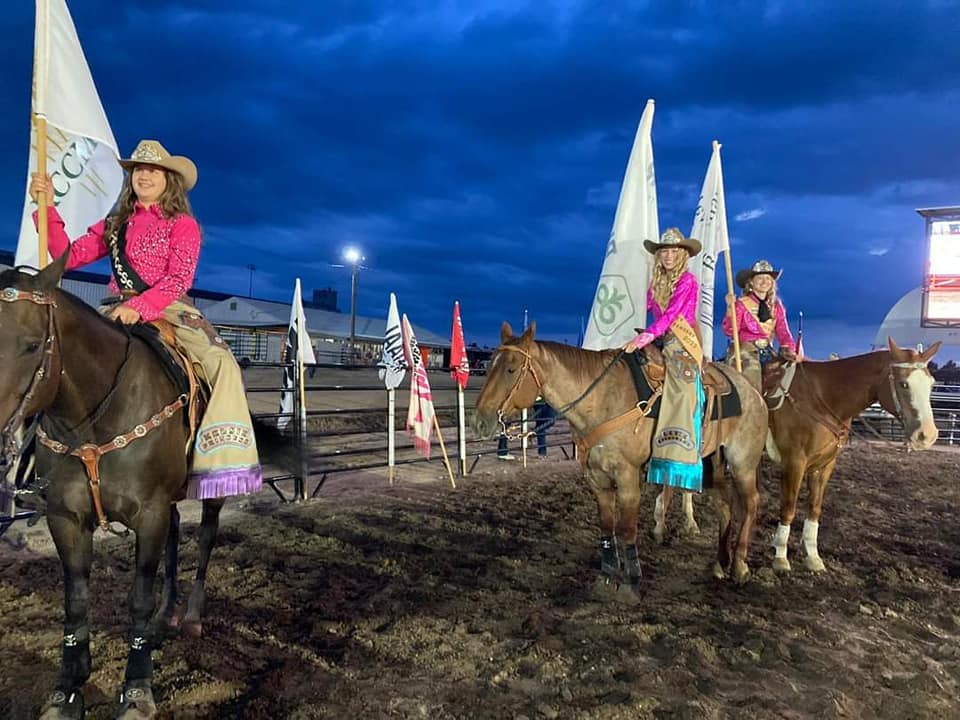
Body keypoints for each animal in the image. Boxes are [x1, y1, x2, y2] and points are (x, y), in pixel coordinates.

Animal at [0, 256, 296, 716]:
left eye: (33, 345)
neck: (96, 415)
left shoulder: (149, 513)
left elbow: (138, 598)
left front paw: (137, 690)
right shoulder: (65, 517)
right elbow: (75, 601)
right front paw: (68, 687)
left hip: (211, 488)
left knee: (206, 537)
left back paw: (189, 617)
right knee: (176, 535)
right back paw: (166, 614)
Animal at [474, 324, 772, 600]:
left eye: (511, 369)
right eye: (490, 365)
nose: (480, 421)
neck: (602, 401)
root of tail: (753, 392)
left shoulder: (628, 477)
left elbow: (627, 530)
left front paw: (631, 584)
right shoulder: (597, 480)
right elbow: (607, 528)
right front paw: (605, 579)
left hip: (743, 463)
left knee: (751, 503)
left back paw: (740, 567)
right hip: (712, 464)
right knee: (725, 505)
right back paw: (720, 564)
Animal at [760, 338, 940, 572]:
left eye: (932, 384)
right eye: (904, 384)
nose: (927, 435)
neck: (821, 397)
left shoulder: (824, 465)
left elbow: (814, 508)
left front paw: (813, 557)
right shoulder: (794, 462)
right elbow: (788, 508)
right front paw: (780, 557)